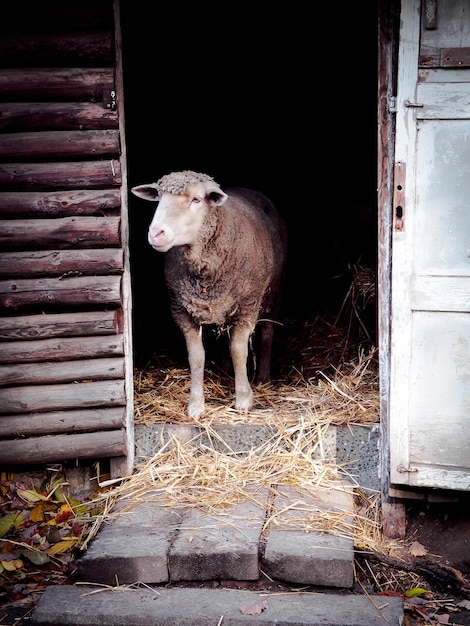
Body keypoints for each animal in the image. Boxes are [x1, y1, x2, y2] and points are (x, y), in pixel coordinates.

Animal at [130, 168, 288, 416]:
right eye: (160, 198)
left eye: (196, 199)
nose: (156, 234)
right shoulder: (181, 310)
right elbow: (196, 357)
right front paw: (196, 405)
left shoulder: (247, 306)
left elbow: (238, 350)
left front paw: (244, 399)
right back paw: (224, 372)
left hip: (273, 292)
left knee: (267, 332)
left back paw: (263, 377)